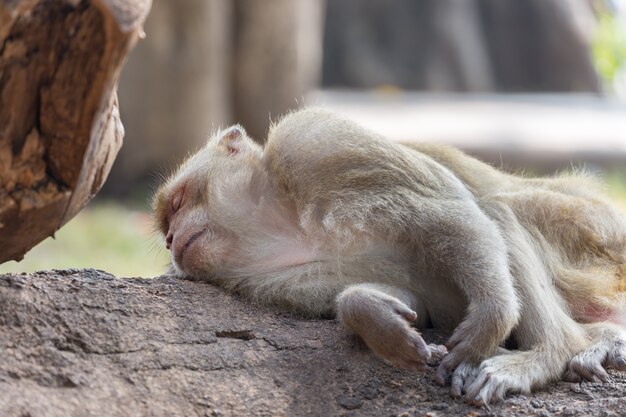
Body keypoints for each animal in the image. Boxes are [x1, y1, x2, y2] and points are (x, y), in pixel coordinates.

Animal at [152, 106, 624, 404]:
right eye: (165, 229)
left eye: (177, 202)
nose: (172, 239)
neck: (282, 218)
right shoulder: (268, 278)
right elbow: (414, 302)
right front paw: (379, 320)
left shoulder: (315, 142)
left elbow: (450, 214)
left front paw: (491, 318)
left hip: (591, 238)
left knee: (498, 211)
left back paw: (548, 353)